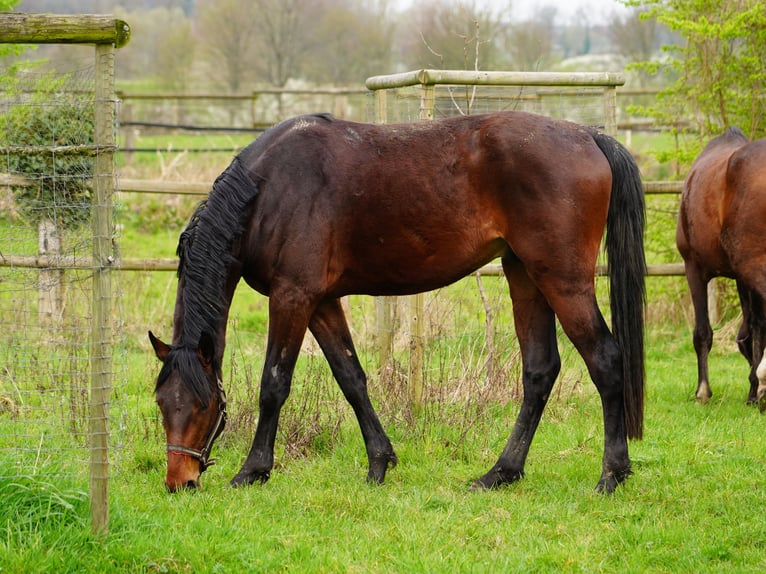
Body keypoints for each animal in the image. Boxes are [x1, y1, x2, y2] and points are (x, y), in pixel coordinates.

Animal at [148, 111, 648, 496]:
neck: (269, 190)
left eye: (203, 406)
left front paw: (252, 471)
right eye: (162, 403)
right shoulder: (322, 302)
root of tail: (588, 135)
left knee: (606, 360)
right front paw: (379, 462)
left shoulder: (292, 296)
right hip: (524, 275)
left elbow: (274, 384)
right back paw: (500, 473)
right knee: (540, 371)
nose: (179, 482)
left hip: (563, 280)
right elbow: (351, 379)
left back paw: (611, 475)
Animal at [680, 126, 766, 410]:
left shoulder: (693, 268)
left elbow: (702, 333)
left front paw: (703, 391)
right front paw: (753, 392)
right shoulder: (742, 277)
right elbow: (756, 326)